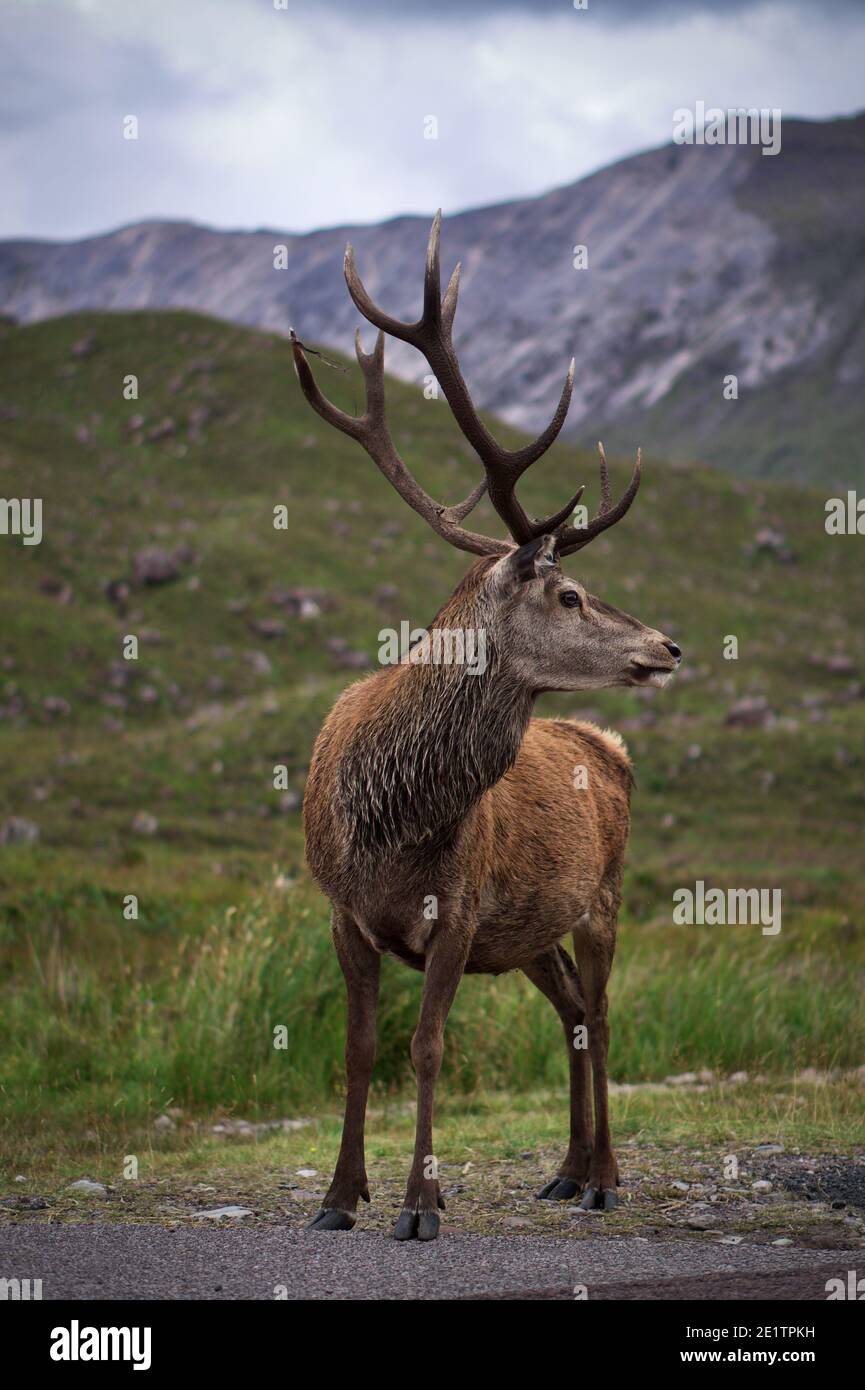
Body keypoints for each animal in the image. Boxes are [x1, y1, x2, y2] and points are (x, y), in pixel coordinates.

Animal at [291, 212, 681, 1242]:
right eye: (569, 594)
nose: (667, 645)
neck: (388, 822)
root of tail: (609, 747)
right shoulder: (342, 912)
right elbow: (359, 1050)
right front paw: (338, 1197)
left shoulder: (457, 910)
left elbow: (425, 1045)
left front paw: (421, 1204)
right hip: (533, 930)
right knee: (572, 1008)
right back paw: (566, 1169)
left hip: (603, 893)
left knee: (604, 1014)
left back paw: (605, 1176)